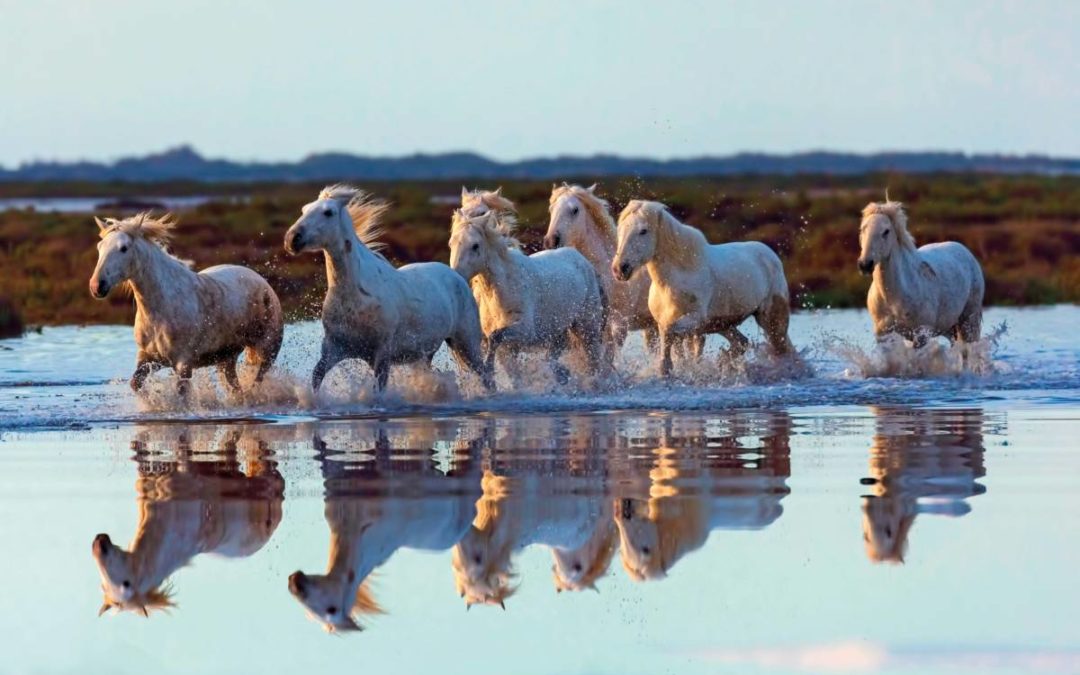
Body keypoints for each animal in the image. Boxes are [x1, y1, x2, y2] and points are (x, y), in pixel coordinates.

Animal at [89, 213, 283, 395]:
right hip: (226, 358)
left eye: (123, 248)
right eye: (99, 247)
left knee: (257, 381)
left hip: (267, 351)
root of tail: (263, 282)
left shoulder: (183, 364)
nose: (97, 286)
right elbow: (135, 384)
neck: (161, 308)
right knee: (235, 386)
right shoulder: (150, 358)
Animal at [284, 185, 493, 394]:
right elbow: (316, 376)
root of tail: (457, 276)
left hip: (466, 343)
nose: (292, 239)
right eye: (304, 209)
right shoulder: (334, 348)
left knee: (485, 375)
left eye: (328, 212)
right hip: (425, 353)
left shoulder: (382, 354)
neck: (356, 296)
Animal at [448, 208, 608, 385]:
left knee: (593, 361)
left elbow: (495, 337)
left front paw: (489, 370)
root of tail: (585, 262)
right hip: (560, 332)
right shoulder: (507, 349)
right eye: (451, 243)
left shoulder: (526, 331)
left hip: (588, 328)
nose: (456, 275)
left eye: (475, 245)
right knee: (554, 355)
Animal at [612, 200, 794, 377]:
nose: (620, 269)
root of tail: (771, 255)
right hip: (722, 324)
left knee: (781, 350)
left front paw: (665, 368)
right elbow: (675, 344)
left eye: (643, 231)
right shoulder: (666, 321)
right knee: (742, 342)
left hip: (771, 319)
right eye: (620, 230)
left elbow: (669, 333)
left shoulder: (694, 318)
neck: (678, 275)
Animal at [858, 200, 984, 347]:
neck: (893, 298)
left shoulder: (921, 334)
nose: (865, 264)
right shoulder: (883, 334)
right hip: (948, 328)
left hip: (968, 322)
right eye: (863, 229)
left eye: (886, 231)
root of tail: (966, 251)